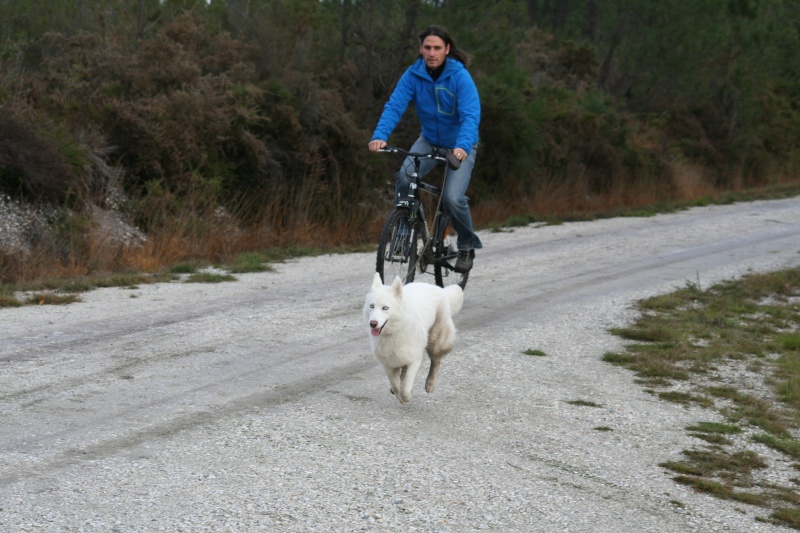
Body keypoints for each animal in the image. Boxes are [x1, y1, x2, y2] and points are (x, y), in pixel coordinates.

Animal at [362, 272, 462, 402]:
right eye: (371, 306)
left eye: (385, 308)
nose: (373, 323)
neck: (394, 332)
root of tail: (440, 289)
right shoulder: (388, 365)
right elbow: (396, 386)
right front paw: (398, 394)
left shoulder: (414, 360)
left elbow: (405, 389)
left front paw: (406, 397)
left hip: (435, 341)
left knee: (436, 361)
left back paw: (430, 383)